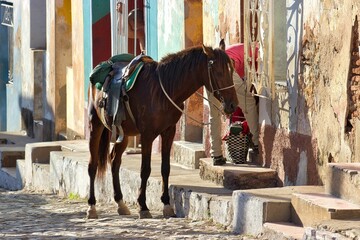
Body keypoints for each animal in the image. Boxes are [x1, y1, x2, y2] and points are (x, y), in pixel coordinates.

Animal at [86, 40, 239, 218]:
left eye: (232, 69)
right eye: (219, 72)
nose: (232, 105)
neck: (163, 89)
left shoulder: (168, 132)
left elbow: (165, 168)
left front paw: (166, 204)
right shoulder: (147, 135)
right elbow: (145, 170)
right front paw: (143, 206)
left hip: (124, 133)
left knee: (114, 161)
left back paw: (120, 203)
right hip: (95, 125)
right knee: (93, 165)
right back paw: (91, 206)